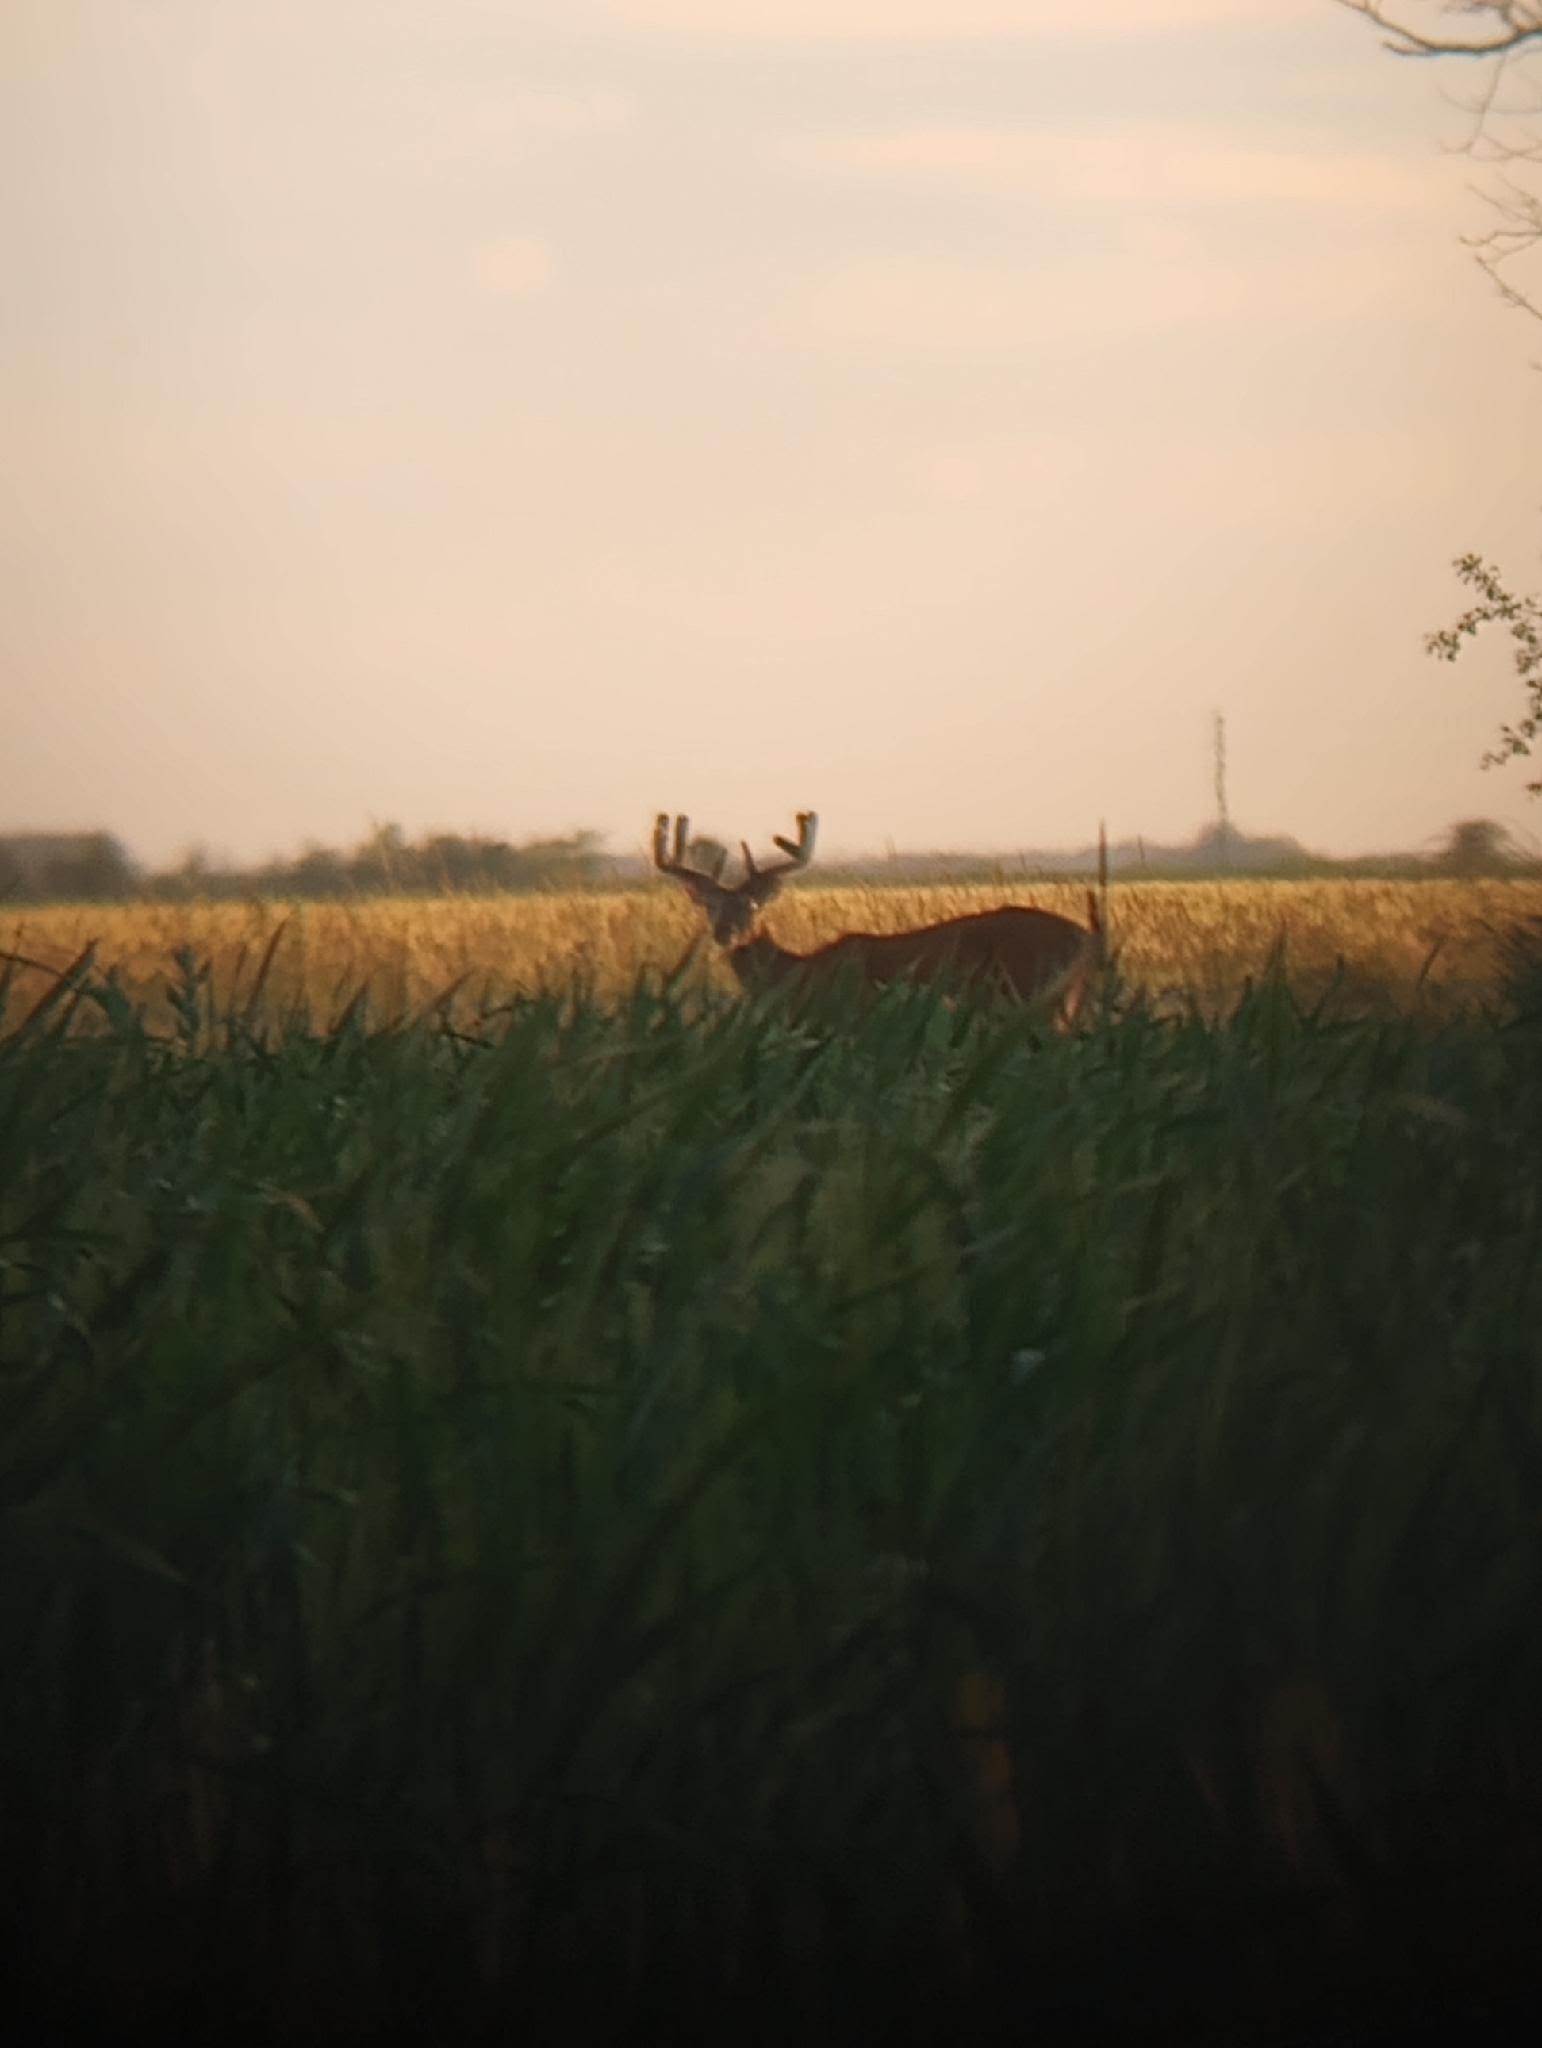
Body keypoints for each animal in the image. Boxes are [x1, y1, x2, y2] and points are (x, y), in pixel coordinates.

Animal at [653, 811, 1103, 1025]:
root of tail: (1084, 937)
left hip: (1030, 995)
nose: (728, 934)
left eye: (751, 907)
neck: (799, 973)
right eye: (710, 906)